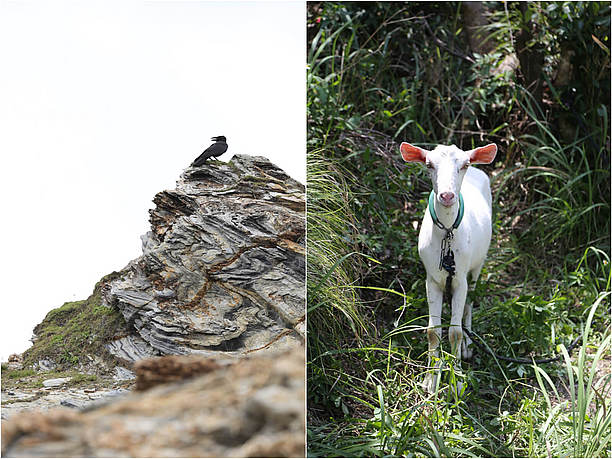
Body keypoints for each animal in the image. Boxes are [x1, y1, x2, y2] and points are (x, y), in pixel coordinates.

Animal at [402, 143, 498, 392]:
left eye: (464, 164)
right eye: (429, 164)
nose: (447, 195)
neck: (447, 232)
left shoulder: (460, 278)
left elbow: (454, 331)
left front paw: (457, 381)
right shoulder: (432, 279)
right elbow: (432, 332)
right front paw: (430, 380)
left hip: (478, 263)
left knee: (470, 302)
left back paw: (468, 344)